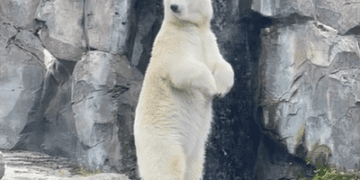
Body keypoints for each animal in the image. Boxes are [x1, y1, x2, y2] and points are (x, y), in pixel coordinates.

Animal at [134, 0, 235, 179]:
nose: (174, 6)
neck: (191, 26)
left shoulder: (208, 40)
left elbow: (221, 63)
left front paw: (220, 90)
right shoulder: (174, 41)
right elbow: (181, 68)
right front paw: (211, 87)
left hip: (197, 147)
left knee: (194, 165)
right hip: (163, 138)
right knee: (168, 165)